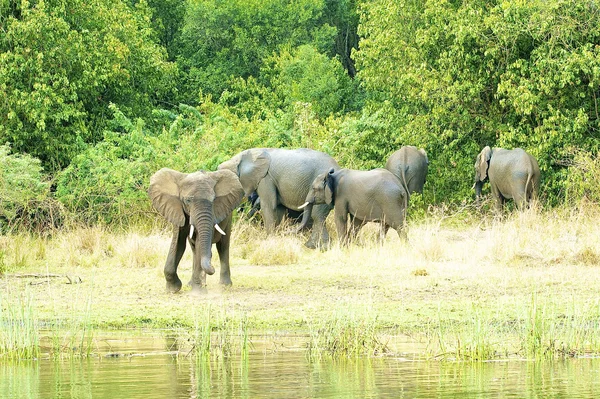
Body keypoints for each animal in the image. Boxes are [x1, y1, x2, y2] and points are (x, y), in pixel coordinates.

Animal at [148, 167, 244, 296]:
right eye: (188, 200)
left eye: (214, 200)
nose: (212, 268)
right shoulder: (177, 209)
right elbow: (178, 243)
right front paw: (173, 289)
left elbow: (199, 243)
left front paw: (198, 291)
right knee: (194, 248)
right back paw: (191, 283)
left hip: (229, 218)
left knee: (223, 246)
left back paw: (224, 285)